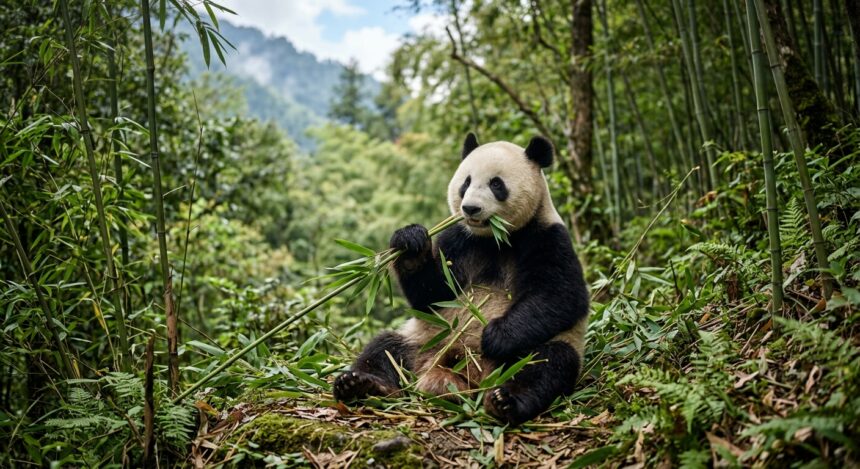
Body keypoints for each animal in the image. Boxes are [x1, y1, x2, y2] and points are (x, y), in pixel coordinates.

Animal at [333, 133, 589, 425]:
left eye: (496, 184)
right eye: (466, 182)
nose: (470, 208)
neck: (493, 239)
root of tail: (468, 376)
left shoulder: (547, 237)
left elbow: (561, 296)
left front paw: (494, 336)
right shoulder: (459, 239)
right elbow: (433, 295)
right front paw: (410, 242)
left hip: (535, 351)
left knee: (547, 364)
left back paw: (505, 401)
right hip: (423, 340)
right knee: (384, 349)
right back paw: (361, 384)